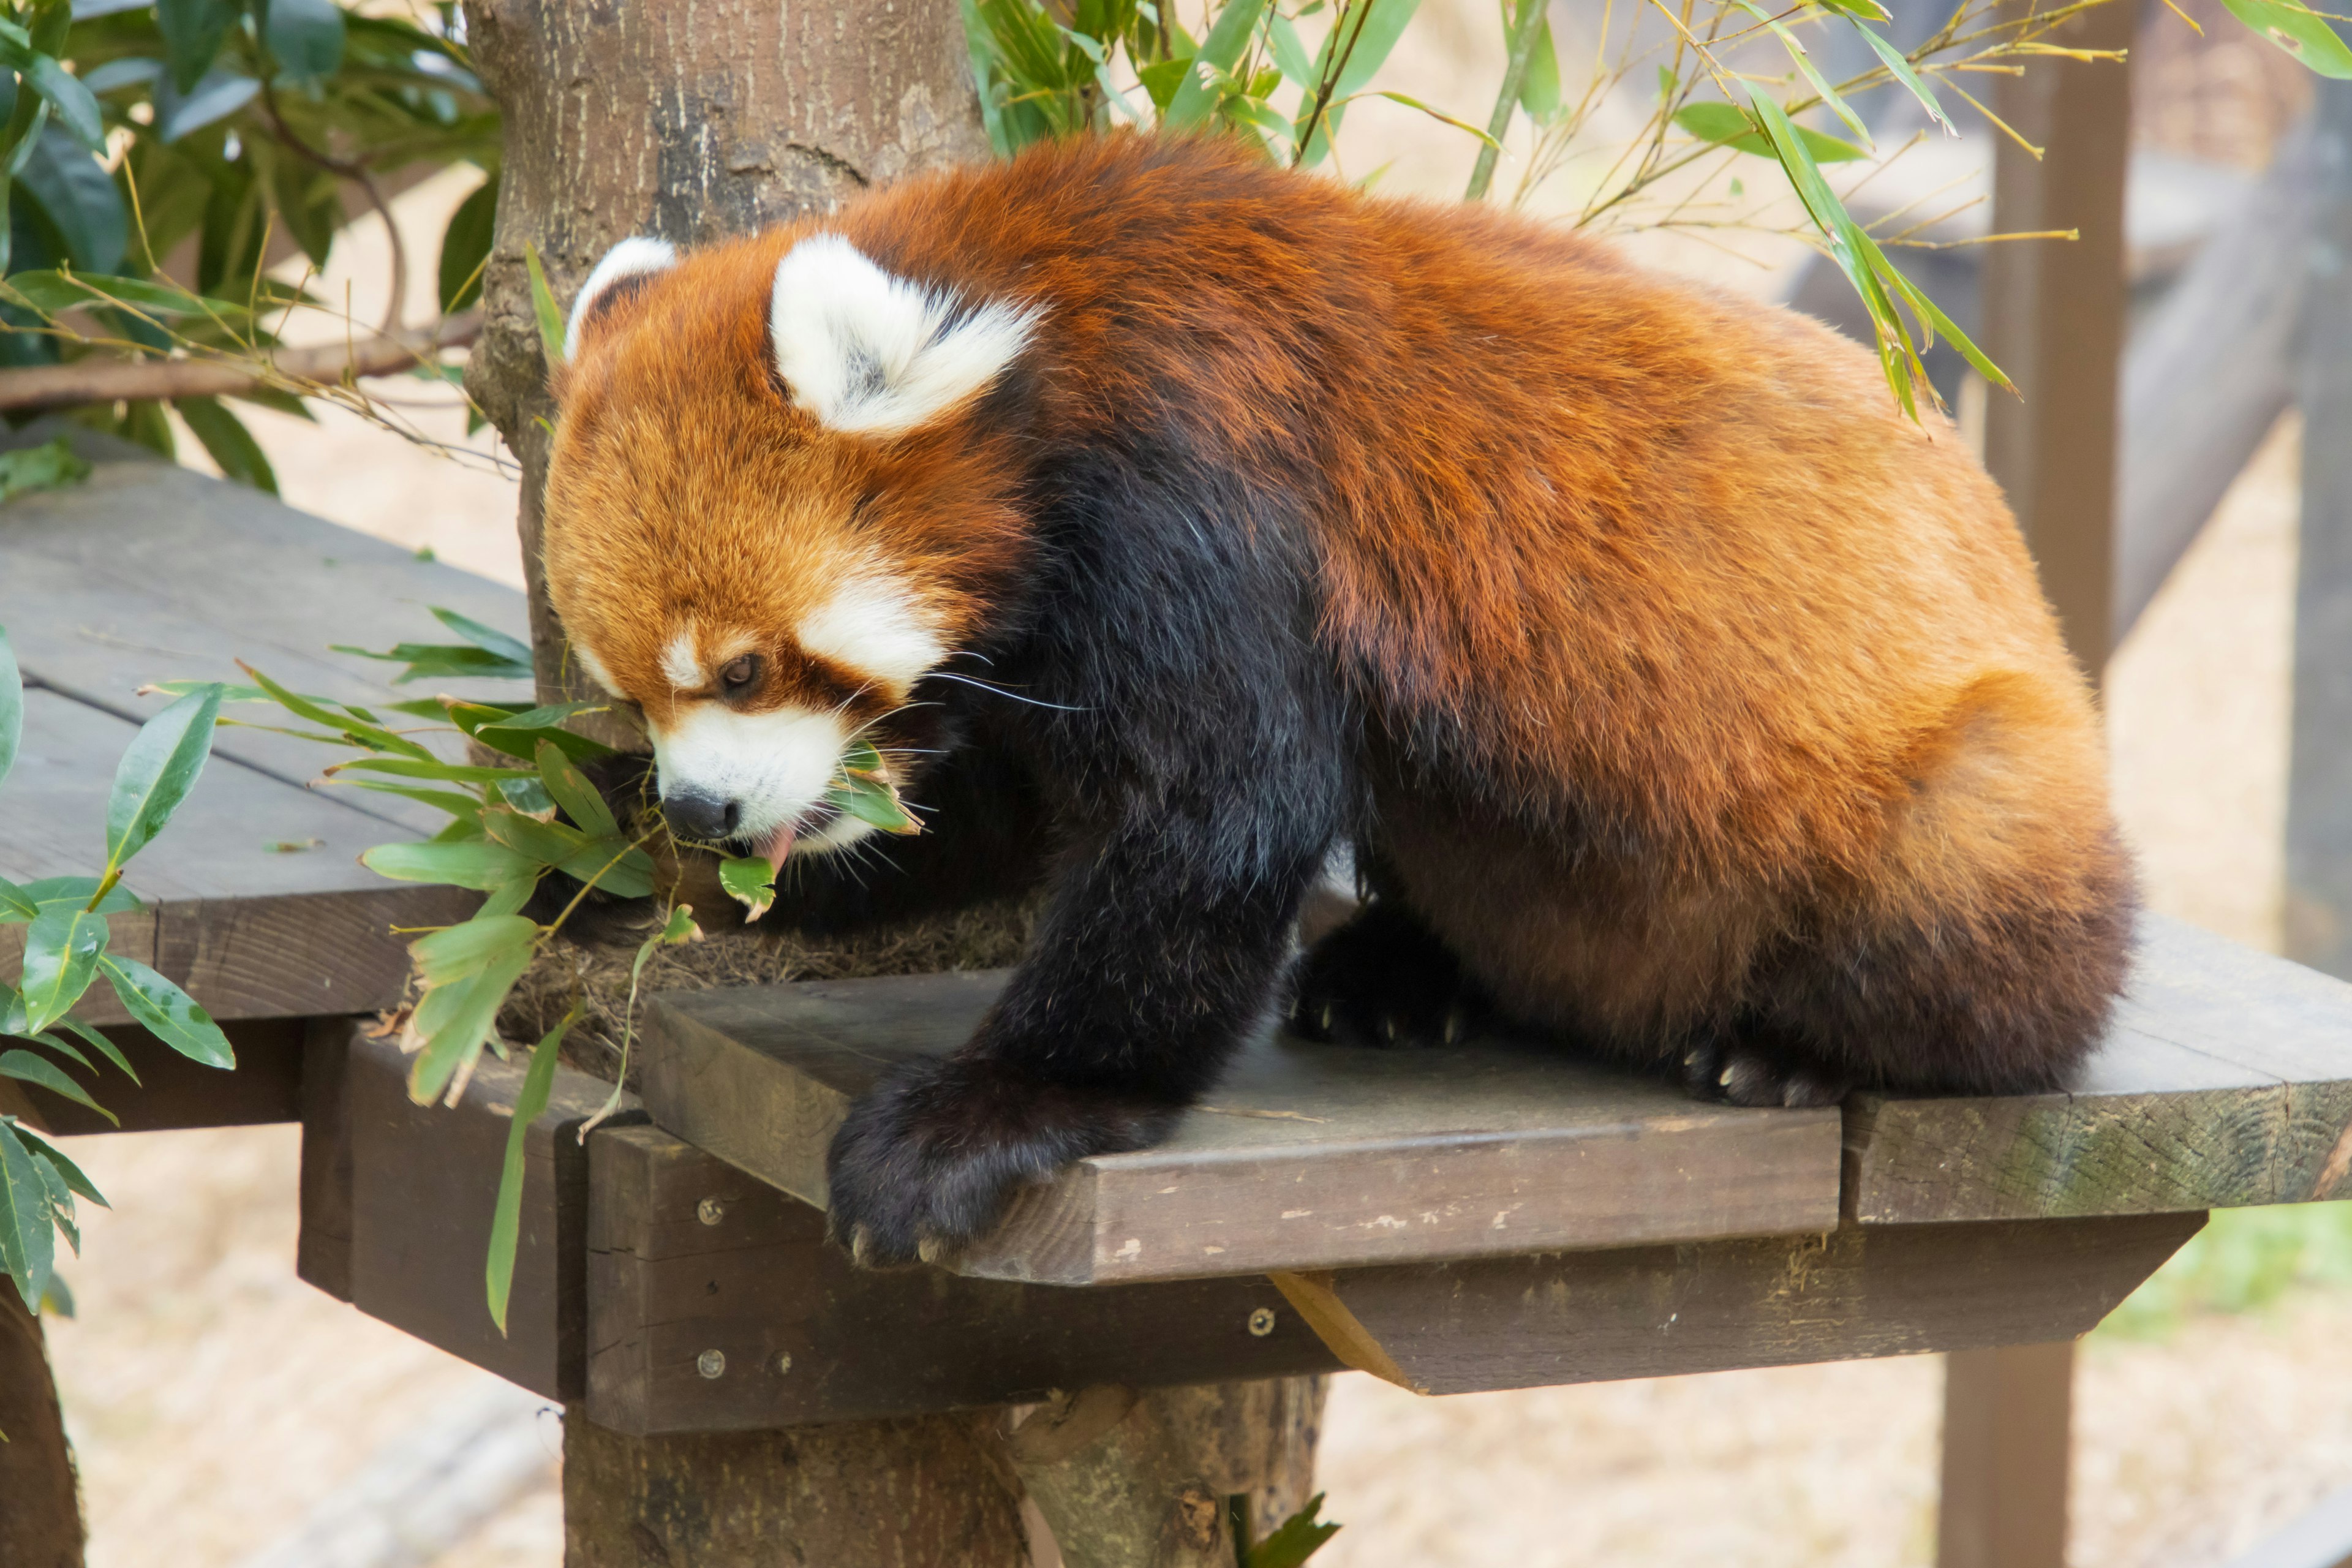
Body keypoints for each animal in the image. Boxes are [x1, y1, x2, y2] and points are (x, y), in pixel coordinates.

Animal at [541, 131, 2145, 1260]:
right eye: (638, 693)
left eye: (742, 666)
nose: (704, 803)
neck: (1058, 318)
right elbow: (991, 819)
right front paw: (616, 850)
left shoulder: (1201, 502)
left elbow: (1210, 819)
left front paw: (1002, 1109)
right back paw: (1403, 969)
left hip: (1962, 795)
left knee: (1972, 913)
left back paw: (1796, 1046)